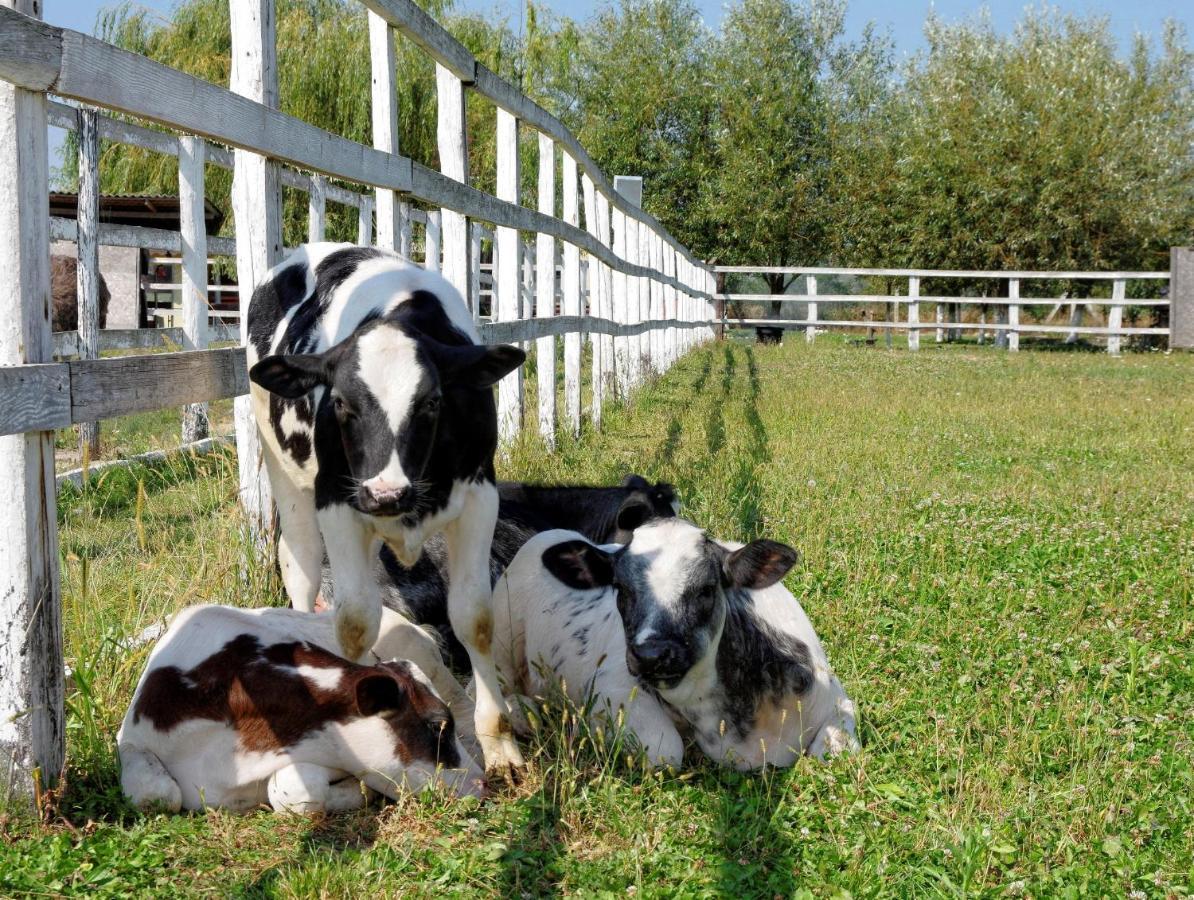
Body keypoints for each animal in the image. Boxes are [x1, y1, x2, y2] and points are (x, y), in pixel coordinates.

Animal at [115, 603, 479, 811]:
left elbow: (291, 790)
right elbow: (156, 795)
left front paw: (359, 791)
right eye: (437, 726)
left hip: (423, 655)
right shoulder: (130, 740)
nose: (480, 784)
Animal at [244, 243, 525, 773]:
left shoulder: (481, 495)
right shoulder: (338, 503)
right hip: (284, 474)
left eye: (432, 402)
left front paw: (500, 744)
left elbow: (474, 618)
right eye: (339, 403)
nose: (386, 493)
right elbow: (355, 623)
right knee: (302, 571)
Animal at [489, 515, 854, 768]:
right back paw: (522, 713)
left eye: (707, 589)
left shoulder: (835, 697)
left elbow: (835, 752)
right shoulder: (612, 686)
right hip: (500, 633)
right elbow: (666, 749)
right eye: (620, 588)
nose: (651, 654)